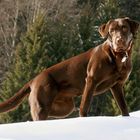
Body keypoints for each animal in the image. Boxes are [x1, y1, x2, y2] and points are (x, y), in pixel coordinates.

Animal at [0, 17, 138, 120]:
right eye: (112, 30)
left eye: (124, 28)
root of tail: (33, 80)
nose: (119, 40)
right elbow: (85, 105)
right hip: (42, 106)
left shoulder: (117, 85)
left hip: (64, 107)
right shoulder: (91, 80)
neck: (118, 56)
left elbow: (124, 107)